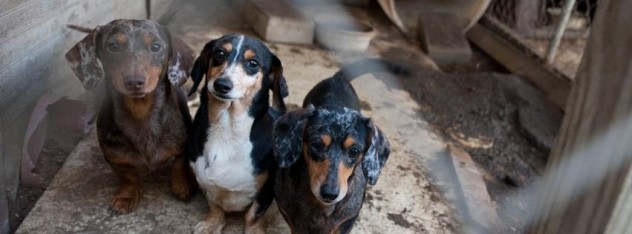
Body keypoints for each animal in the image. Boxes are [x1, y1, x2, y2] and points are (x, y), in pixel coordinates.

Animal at [65, 19, 196, 214]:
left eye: (156, 46)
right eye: (113, 46)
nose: (134, 81)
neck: (140, 111)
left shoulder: (182, 147)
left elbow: (178, 166)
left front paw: (182, 186)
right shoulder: (115, 158)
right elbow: (128, 178)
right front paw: (125, 198)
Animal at [186, 33, 288, 234]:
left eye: (253, 63)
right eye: (219, 53)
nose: (222, 85)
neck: (228, 127)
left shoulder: (265, 191)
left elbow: (254, 214)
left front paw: (254, 229)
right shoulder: (204, 182)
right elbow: (215, 206)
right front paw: (212, 224)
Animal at [272, 59, 400, 234]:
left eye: (354, 151)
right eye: (316, 145)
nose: (329, 194)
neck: (319, 206)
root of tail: (337, 79)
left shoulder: (347, 222)